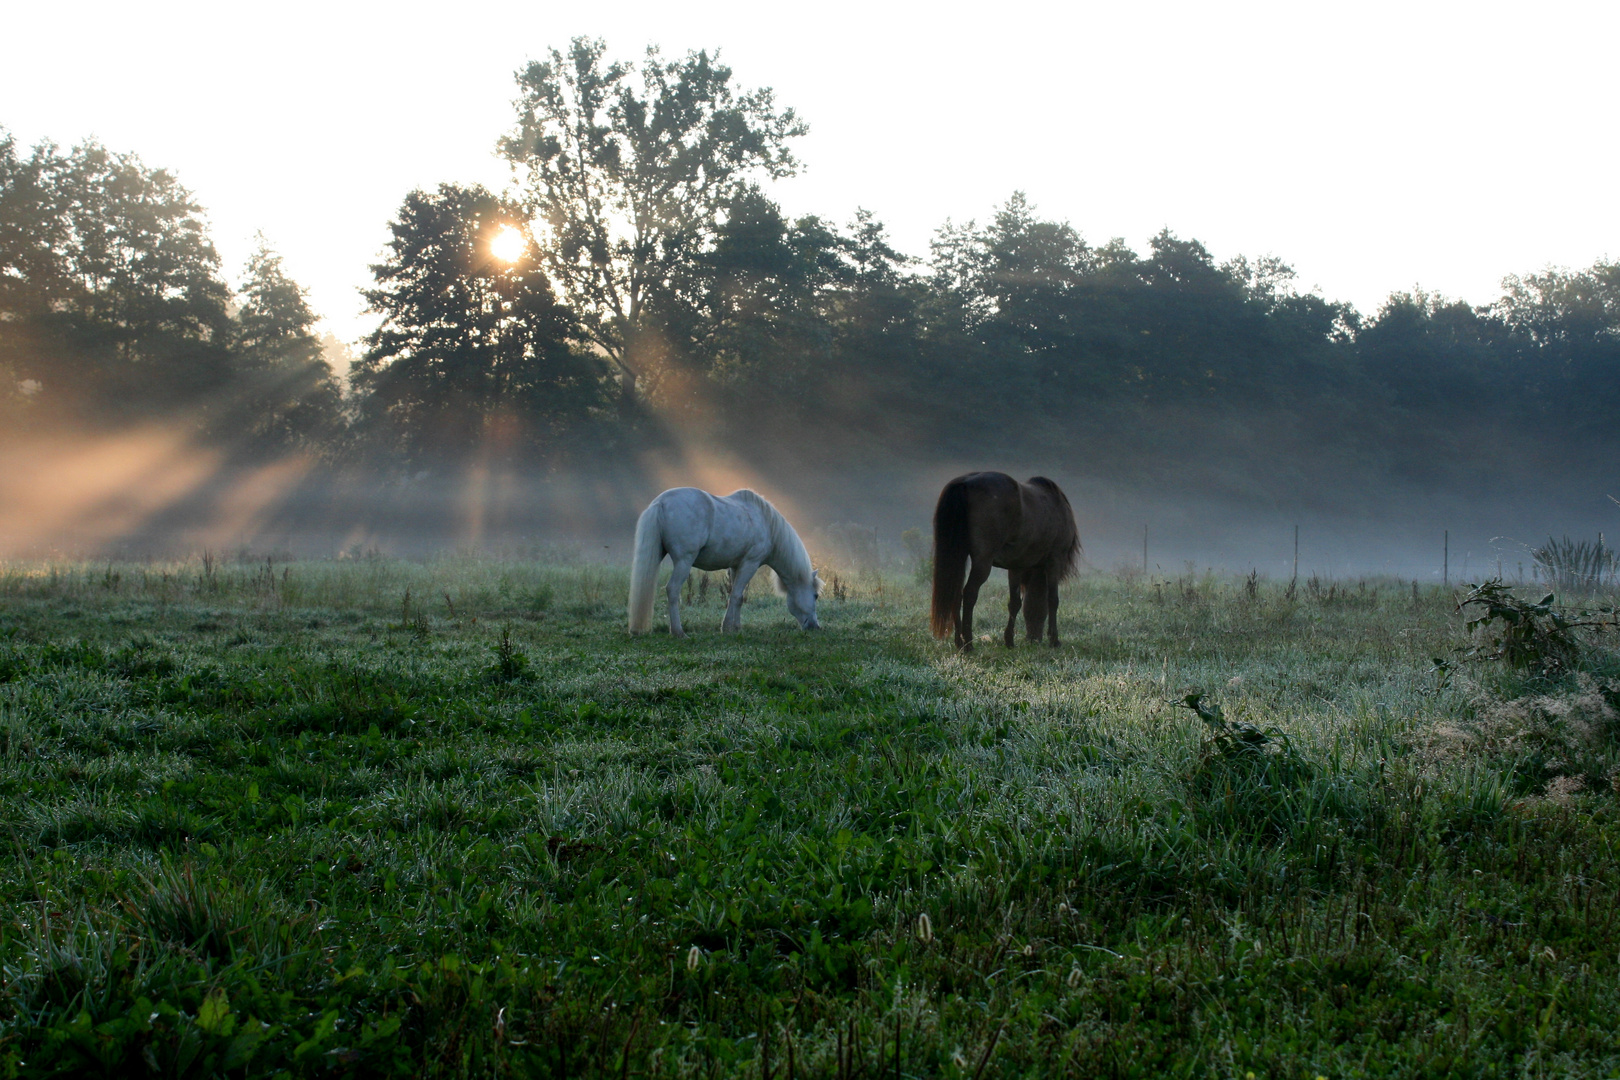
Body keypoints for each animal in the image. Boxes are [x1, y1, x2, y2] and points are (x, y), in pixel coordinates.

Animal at [622, 488, 816, 637]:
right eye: (815, 596)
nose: (815, 627)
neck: (766, 523)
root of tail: (660, 503)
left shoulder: (736, 566)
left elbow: (737, 596)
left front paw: (736, 627)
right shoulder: (750, 563)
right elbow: (736, 596)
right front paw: (728, 627)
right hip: (684, 561)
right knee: (673, 590)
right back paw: (678, 632)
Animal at [933, 472, 1082, 650]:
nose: (1033, 638)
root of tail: (965, 482)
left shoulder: (1016, 565)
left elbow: (1015, 603)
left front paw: (1009, 640)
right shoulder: (1055, 560)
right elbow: (1053, 600)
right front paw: (1054, 640)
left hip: (960, 557)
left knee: (956, 593)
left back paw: (959, 642)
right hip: (983, 562)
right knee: (969, 594)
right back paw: (968, 644)